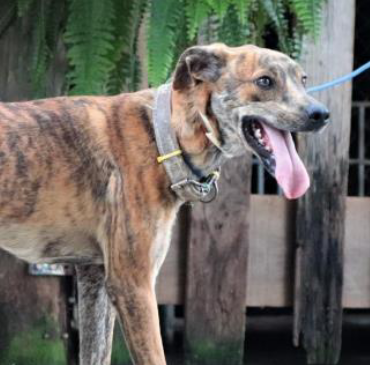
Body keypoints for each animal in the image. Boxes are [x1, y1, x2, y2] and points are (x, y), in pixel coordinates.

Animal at [0, 44, 330, 364]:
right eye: (264, 81)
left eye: (303, 79)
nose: (321, 114)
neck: (164, 135)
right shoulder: (133, 284)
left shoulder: (94, 276)